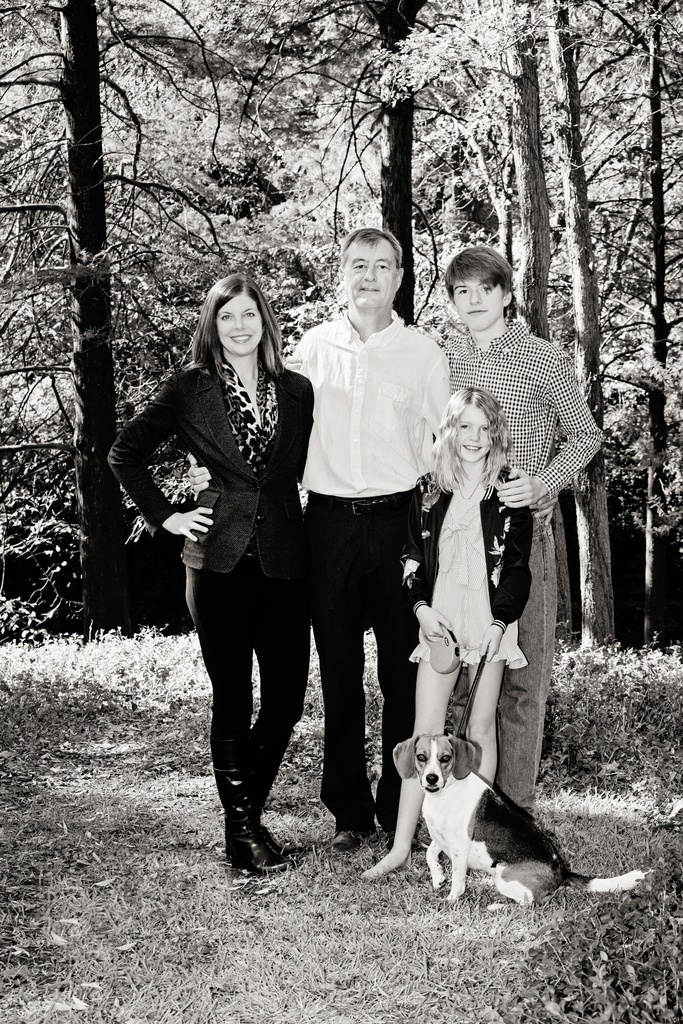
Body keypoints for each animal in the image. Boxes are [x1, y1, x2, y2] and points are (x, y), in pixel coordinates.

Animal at [395, 737, 647, 905]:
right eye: (421, 757)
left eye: (445, 758)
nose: (431, 778)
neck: (444, 793)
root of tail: (563, 872)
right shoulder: (440, 837)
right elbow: (430, 854)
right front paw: (438, 877)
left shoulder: (459, 847)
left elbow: (458, 881)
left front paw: (450, 899)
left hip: (505, 876)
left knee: (529, 902)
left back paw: (497, 906)